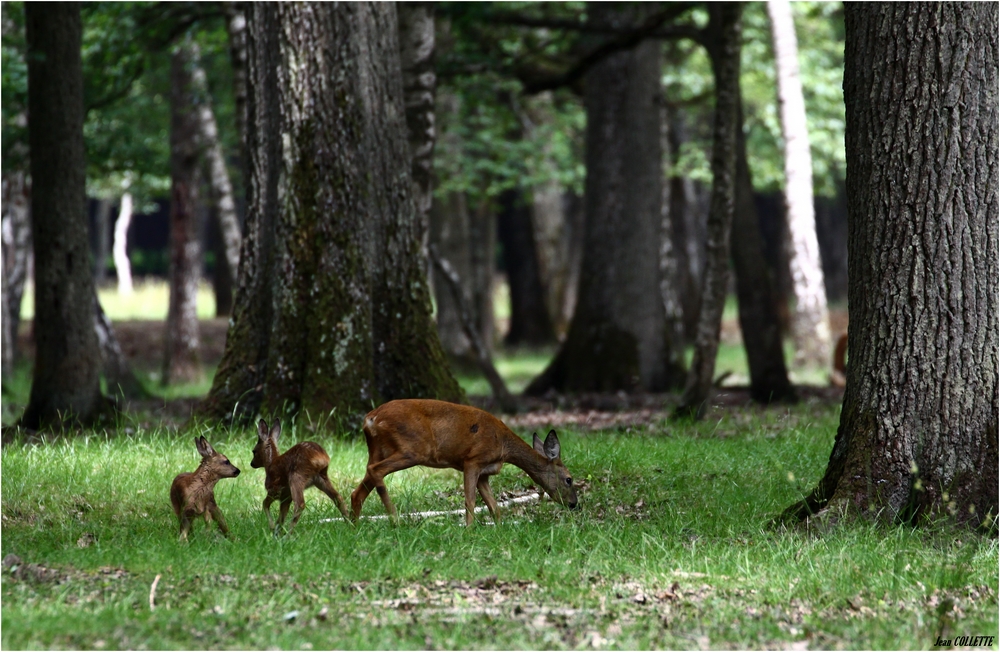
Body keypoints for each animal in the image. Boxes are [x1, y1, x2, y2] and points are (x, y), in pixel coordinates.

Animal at [352, 400, 580, 528]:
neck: (503, 445)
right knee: (375, 471)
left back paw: (354, 525)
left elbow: (494, 507)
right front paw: (469, 531)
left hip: (378, 449)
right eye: (569, 479)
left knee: (358, 489)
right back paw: (395, 519)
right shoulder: (472, 460)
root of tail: (371, 419)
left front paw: (499, 529)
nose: (574, 504)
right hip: (413, 449)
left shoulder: (484, 473)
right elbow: (470, 501)